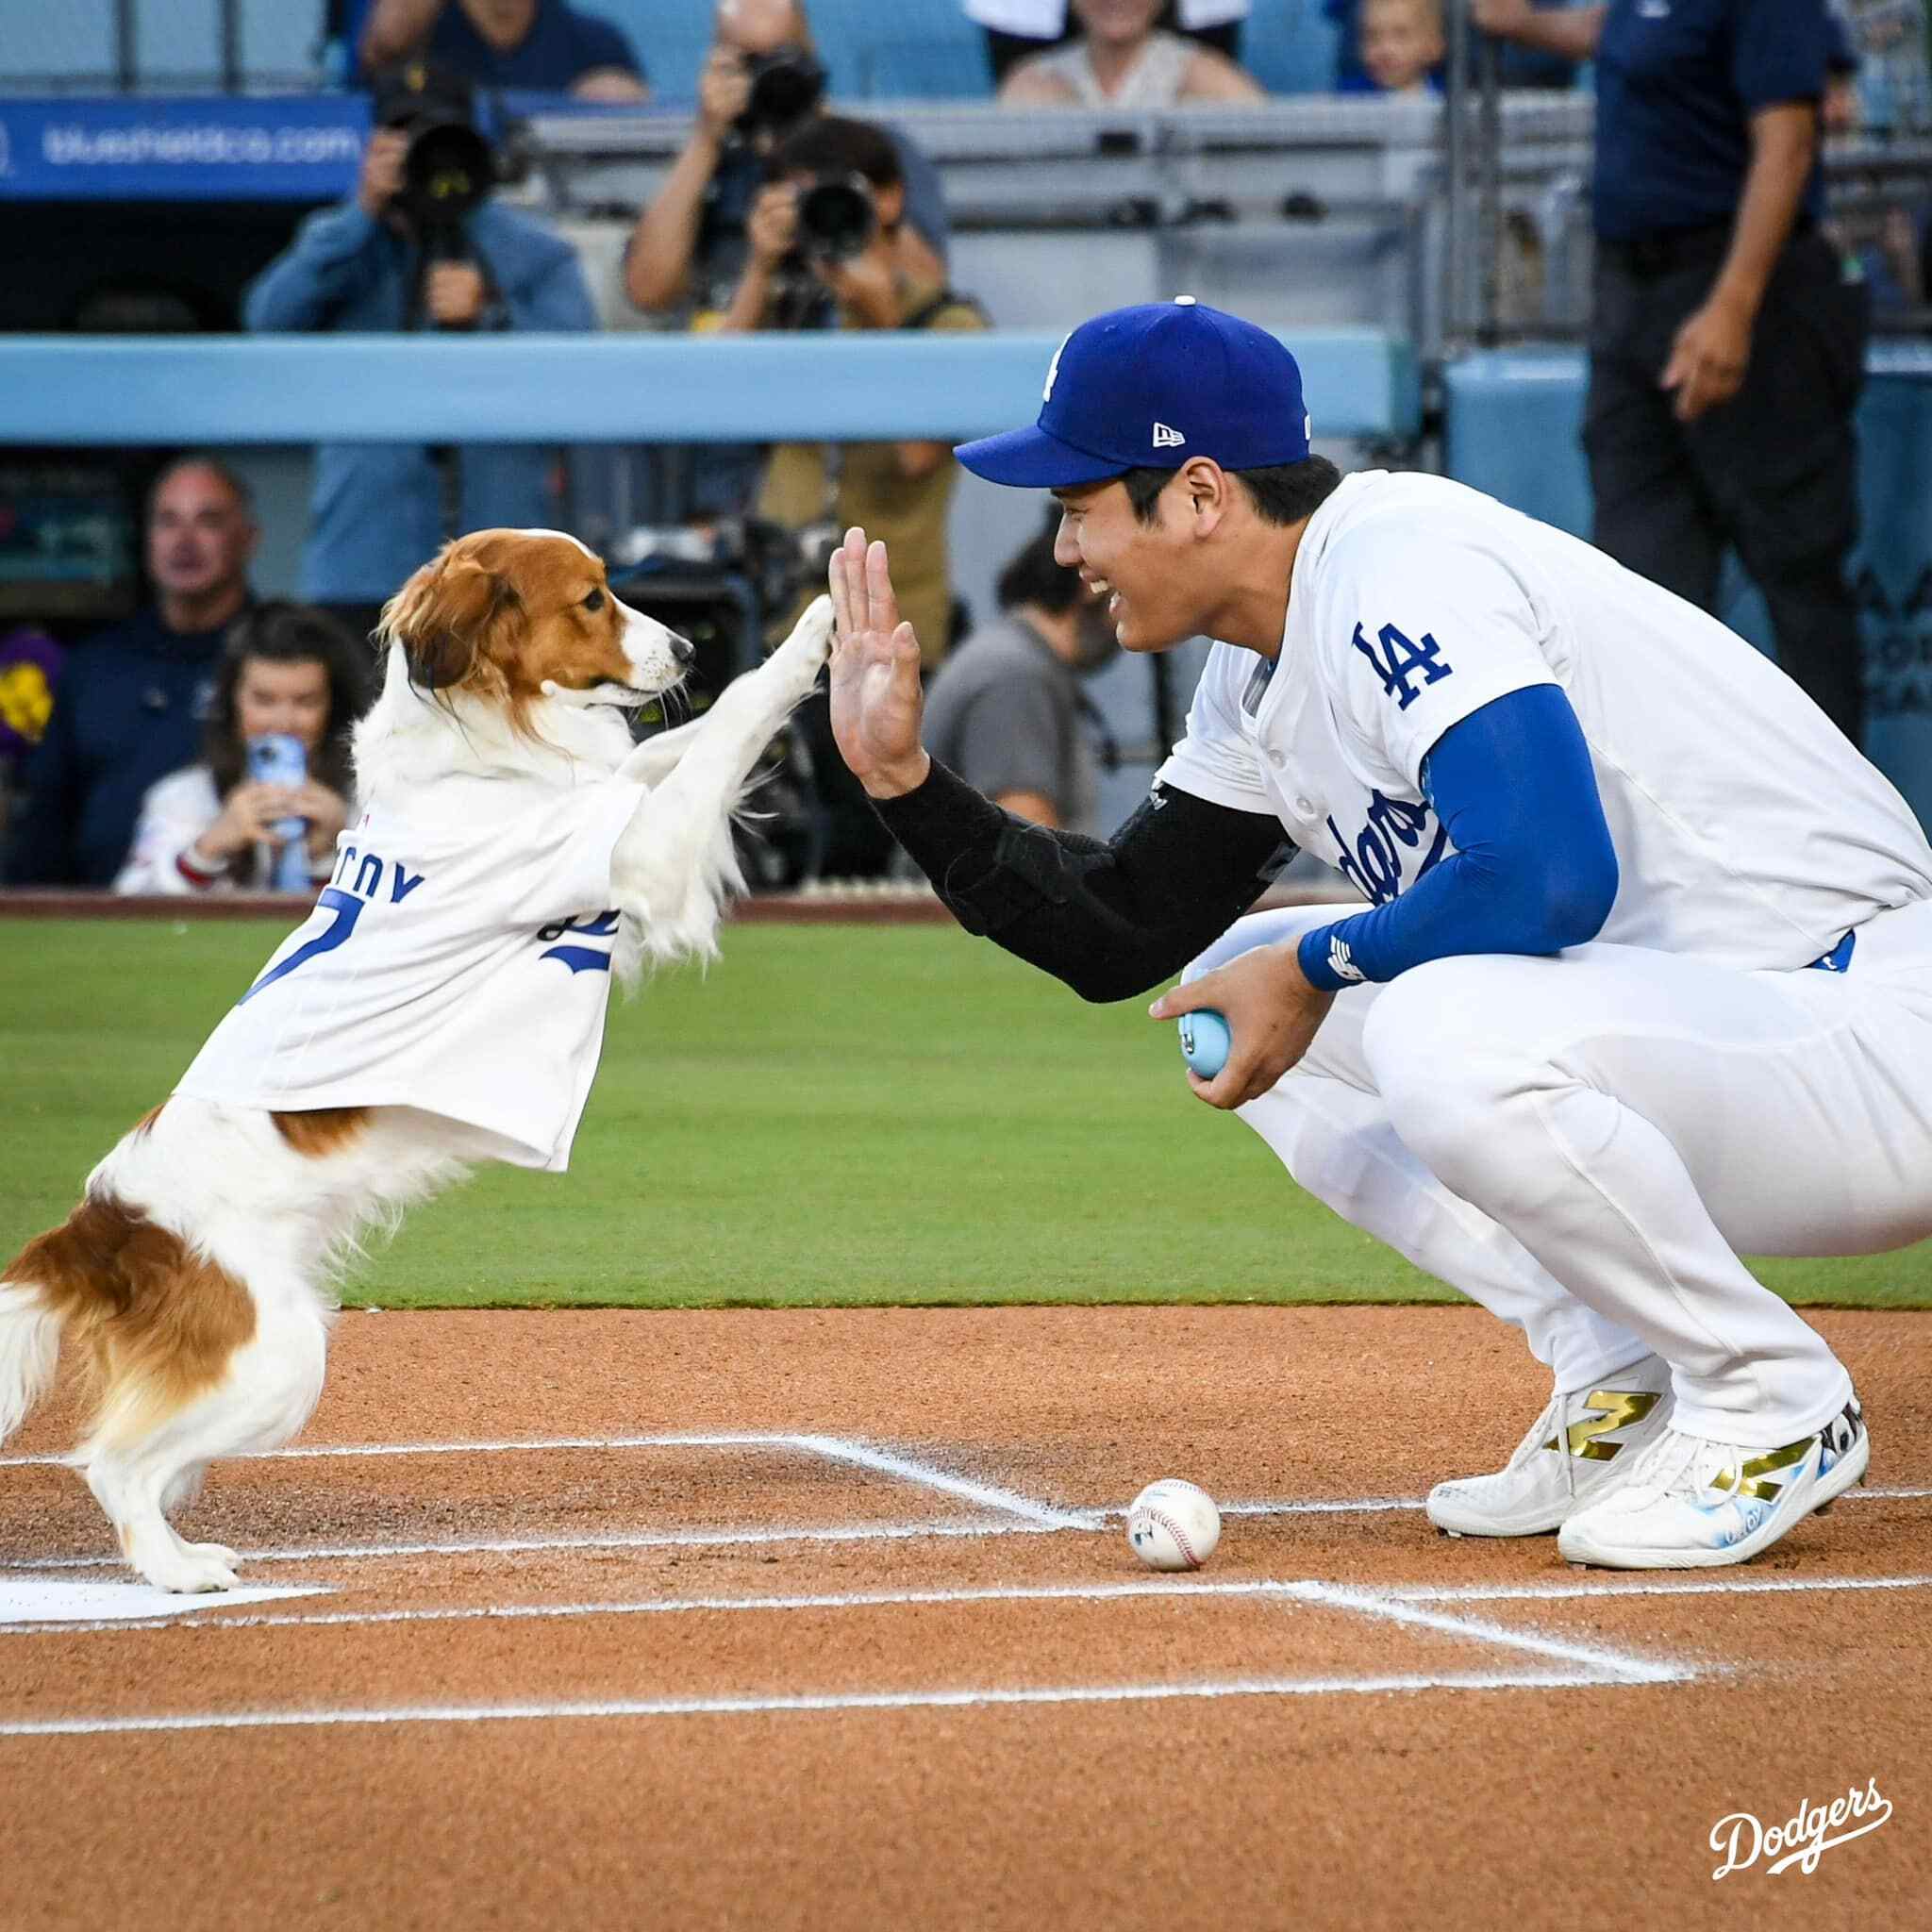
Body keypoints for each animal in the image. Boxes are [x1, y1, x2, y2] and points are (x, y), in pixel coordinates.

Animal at [0, 525, 834, 1584]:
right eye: (594, 599)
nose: (688, 649)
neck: (478, 751)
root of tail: (98, 1226)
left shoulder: (611, 805)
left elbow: (671, 746)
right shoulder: (638, 850)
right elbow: (731, 720)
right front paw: (817, 630)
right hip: (279, 1356)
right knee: (112, 1461)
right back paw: (178, 1569)